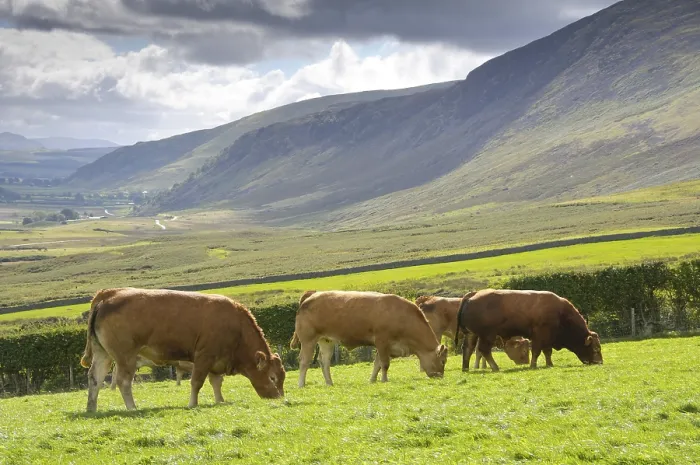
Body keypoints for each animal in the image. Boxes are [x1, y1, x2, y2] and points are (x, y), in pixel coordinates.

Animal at [80, 287, 285, 412]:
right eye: (272, 378)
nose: (279, 398)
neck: (236, 326)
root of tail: (109, 294)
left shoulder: (216, 360)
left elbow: (216, 382)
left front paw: (220, 400)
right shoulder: (204, 356)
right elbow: (196, 382)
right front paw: (193, 403)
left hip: (103, 354)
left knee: (95, 378)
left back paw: (91, 408)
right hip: (125, 357)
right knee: (123, 381)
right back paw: (132, 407)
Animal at [290, 290, 448, 387]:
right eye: (443, 361)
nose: (440, 376)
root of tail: (311, 296)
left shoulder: (384, 346)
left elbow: (377, 364)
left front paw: (372, 380)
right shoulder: (382, 342)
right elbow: (384, 364)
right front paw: (384, 380)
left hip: (326, 341)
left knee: (325, 362)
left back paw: (329, 383)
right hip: (308, 340)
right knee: (304, 361)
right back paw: (301, 384)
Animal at [455, 289, 603, 372]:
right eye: (596, 349)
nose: (599, 363)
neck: (560, 313)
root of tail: (471, 297)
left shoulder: (548, 338)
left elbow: (547, 352)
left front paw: (549, 364)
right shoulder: (539, 335)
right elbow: (536, 351)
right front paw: (533, 365)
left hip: (472, 334)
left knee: (468, 349)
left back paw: (465, 368)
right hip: (487, 335)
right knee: (484, 350)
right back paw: (495, 367)